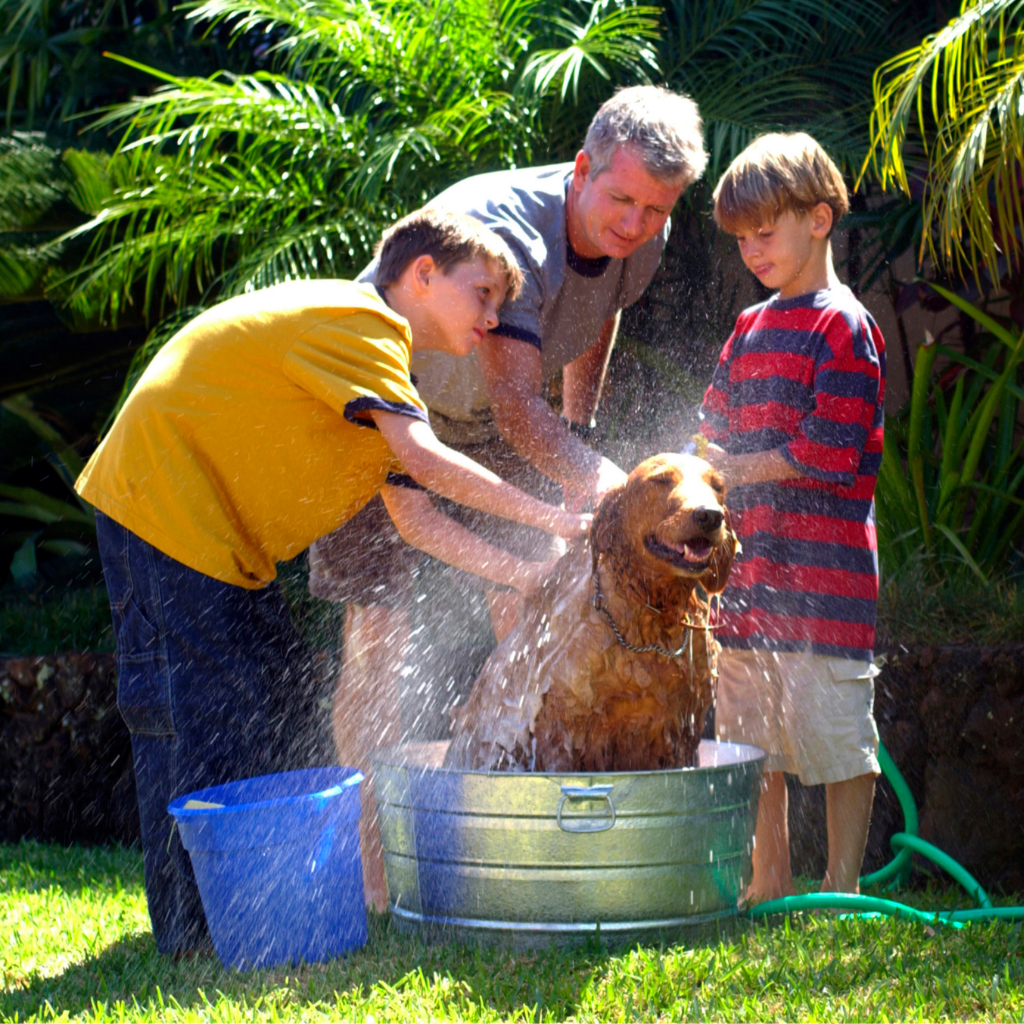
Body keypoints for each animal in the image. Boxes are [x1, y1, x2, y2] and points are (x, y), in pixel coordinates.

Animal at [444, 452, 741, 770]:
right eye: (660, 479)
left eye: (717, 486)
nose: (710, 515)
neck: (651, 615)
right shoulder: (560, 727)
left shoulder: (683, 725)